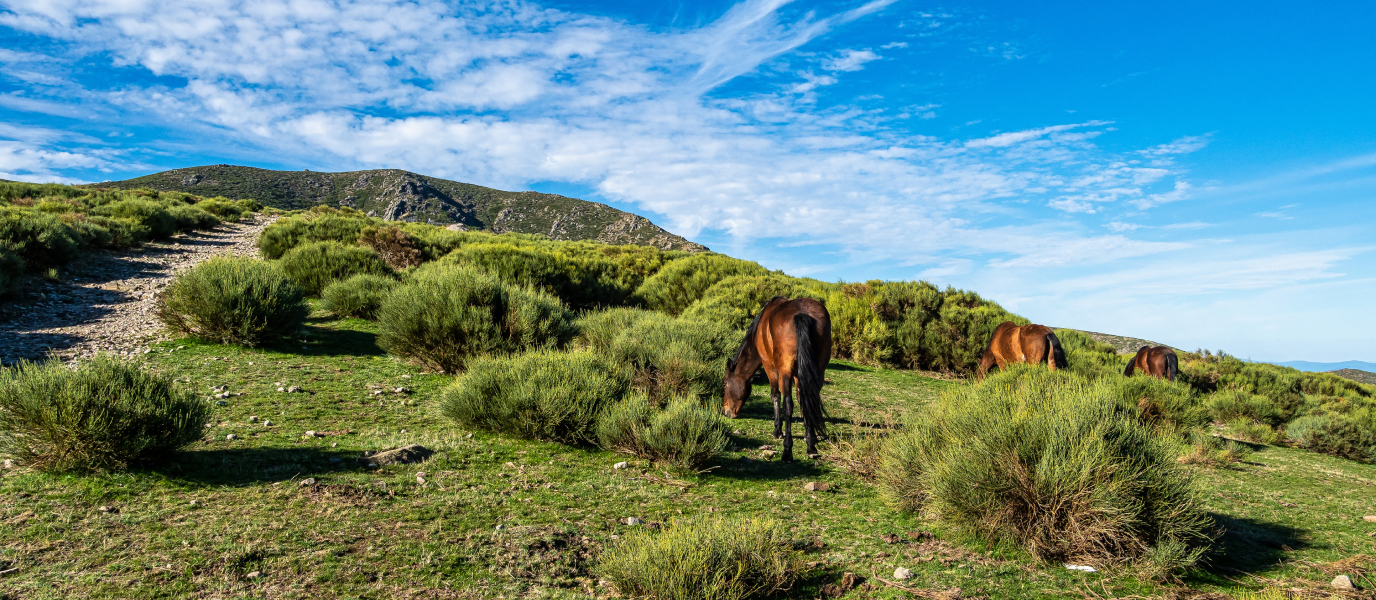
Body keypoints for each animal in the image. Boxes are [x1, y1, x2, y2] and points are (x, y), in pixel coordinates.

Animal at [726, 297, 831, 462]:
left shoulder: (769, 365)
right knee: (810, 400)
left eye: (725, 384)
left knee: (788, 404)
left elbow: (775, 396)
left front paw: (777, 431)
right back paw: (811, 447)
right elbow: (803, 401)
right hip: (817, 371)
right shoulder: (799, 375)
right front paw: (809, 437)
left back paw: (787, 450)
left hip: (784, 372)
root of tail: (802, 314)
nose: (726, 412)